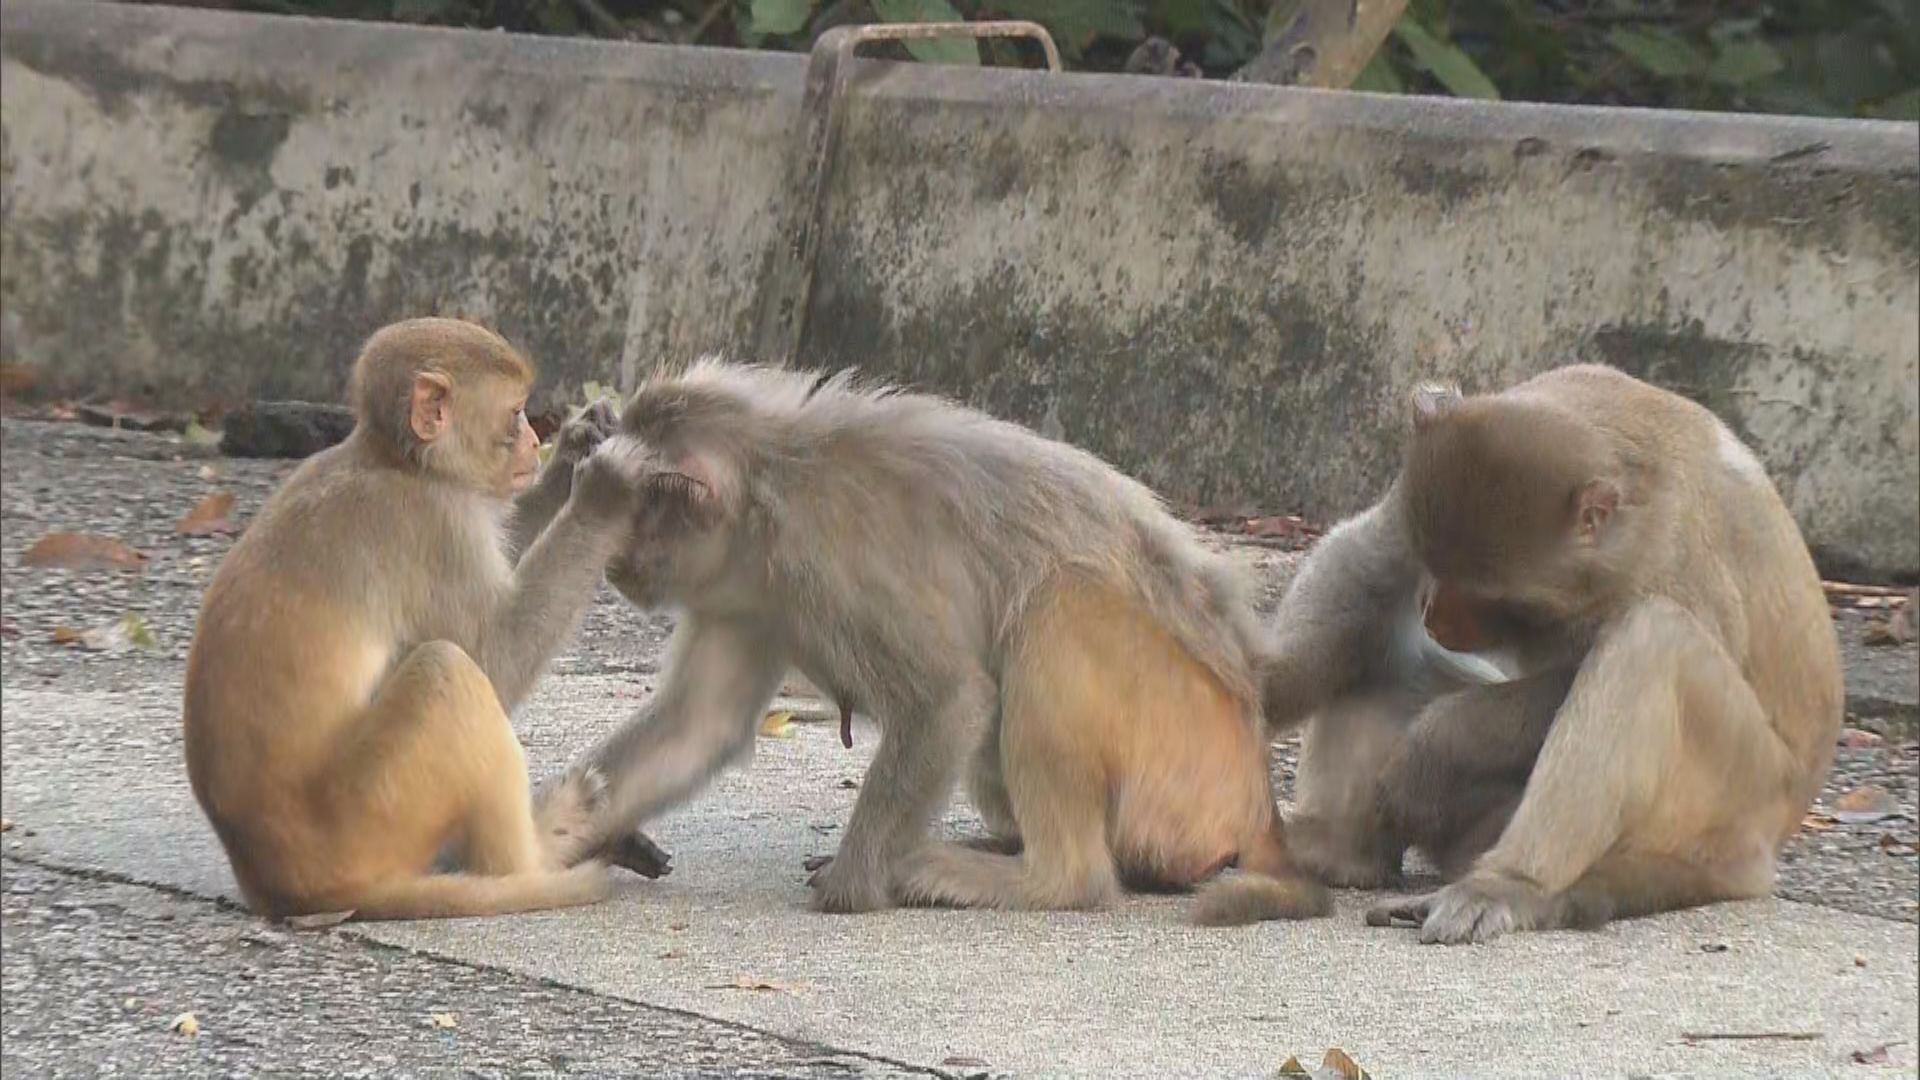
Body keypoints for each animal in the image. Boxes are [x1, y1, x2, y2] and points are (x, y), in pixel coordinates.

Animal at [182, 313, 660, 914]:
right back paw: (537, 853)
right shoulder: (435, 525)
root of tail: (283, 884)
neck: (399, 463)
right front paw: (602, 488)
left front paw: (575, 450)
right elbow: (494, 656)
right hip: (374, 812)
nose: (535, 441)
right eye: (515, 413)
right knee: (447, 669)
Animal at [533, 359, 1328, 914]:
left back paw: (1040, 877)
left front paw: (853, 884)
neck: (766, 490)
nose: (616, 569)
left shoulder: (829, 561)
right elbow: (700, 725)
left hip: (1183, 756)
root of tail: (1257, 796)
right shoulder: (750, 594)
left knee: (1057, 608)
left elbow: (948, 697)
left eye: (629, 521)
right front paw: (568, 832)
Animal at [1267, 365, 1835, 937]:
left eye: (1492, 598)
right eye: (1434, 565)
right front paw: (1263, 684)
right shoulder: (1412, 500)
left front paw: (1436, 746)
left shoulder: (1670, 567)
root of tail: (1767, 847)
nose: (1433, 613)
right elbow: (1367, 561)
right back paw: (1342, 852)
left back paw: (1511, 884)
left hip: (1740, 796)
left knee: (1652, 640)